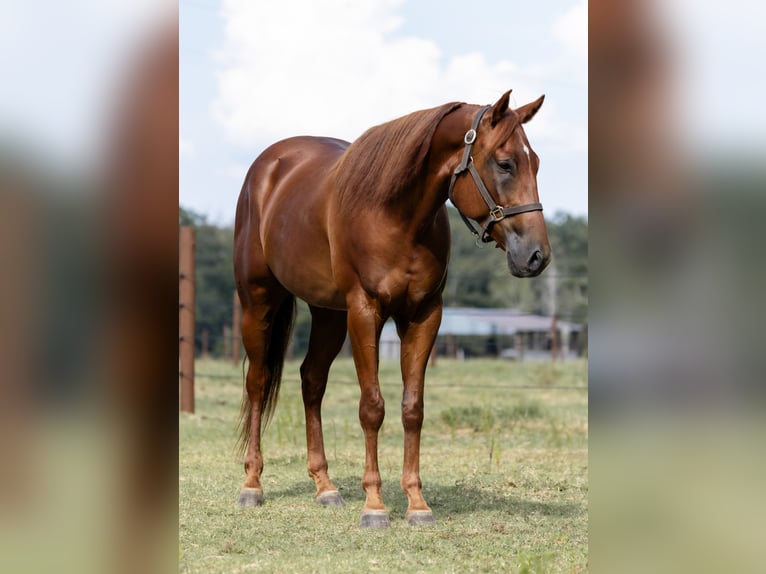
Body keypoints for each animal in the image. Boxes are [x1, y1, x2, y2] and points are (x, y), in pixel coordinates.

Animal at [233, 89, 551, 528]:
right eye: (505, 164)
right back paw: (252, 485)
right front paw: (375, 506)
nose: (537, 256)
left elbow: (412, 408)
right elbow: (372, 407)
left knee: (311, 381)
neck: (395, 214)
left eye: (535, 162)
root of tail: (267, 167)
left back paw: (325, 487)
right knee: (259, 383)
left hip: (328, 314)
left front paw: (417, 504)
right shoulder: (365, 312)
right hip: (259, 301)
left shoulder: (423, 315)